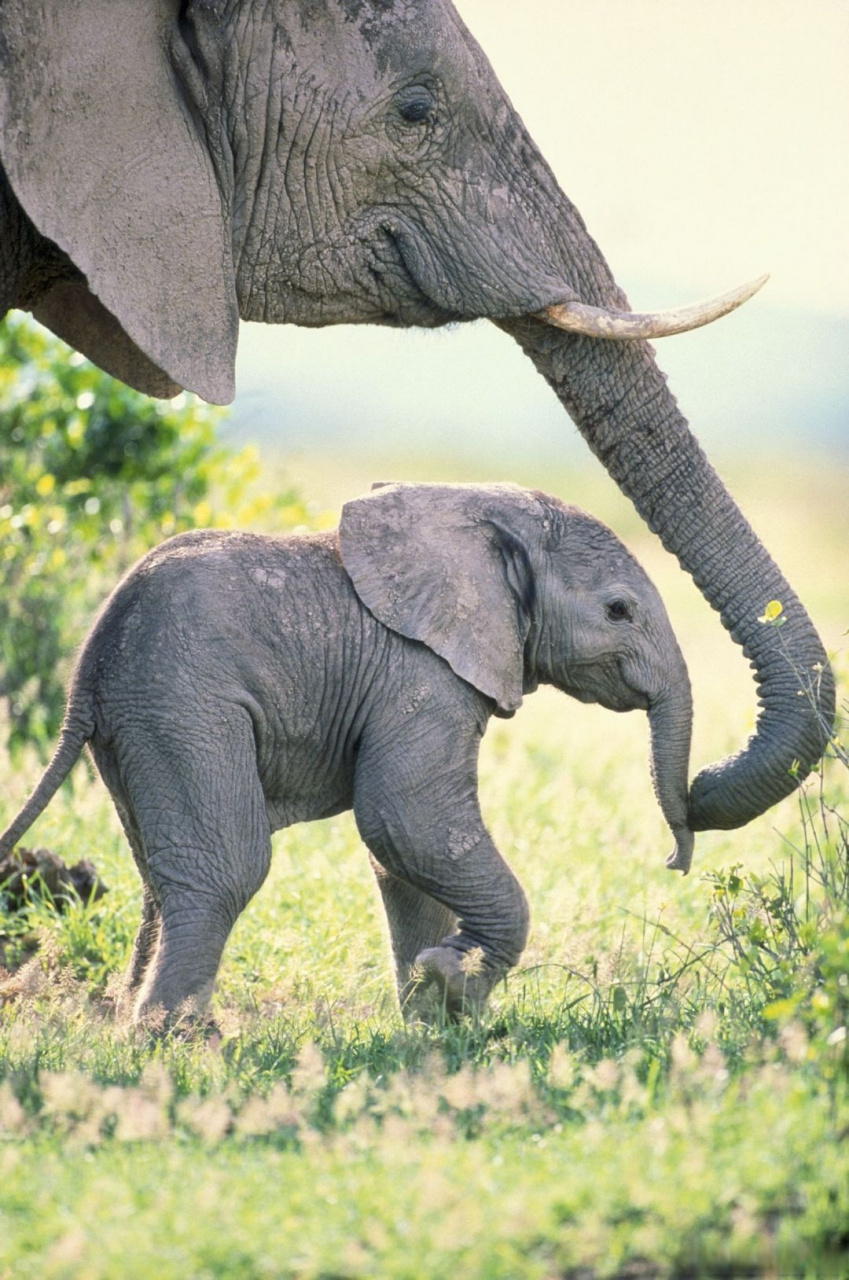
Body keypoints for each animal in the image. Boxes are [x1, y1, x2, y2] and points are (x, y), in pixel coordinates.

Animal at [0, 482, 694, 1021]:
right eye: (618, 610)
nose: (673, 861)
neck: (483, 511)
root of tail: (88, 667)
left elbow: (404, 855)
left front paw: (434, 1022)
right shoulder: (420, 674)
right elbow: (407, 821)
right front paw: (452, 982)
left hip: (136, 721)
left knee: (160, 878)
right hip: (183, 703)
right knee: (228, 867)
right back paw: (173, 1042)